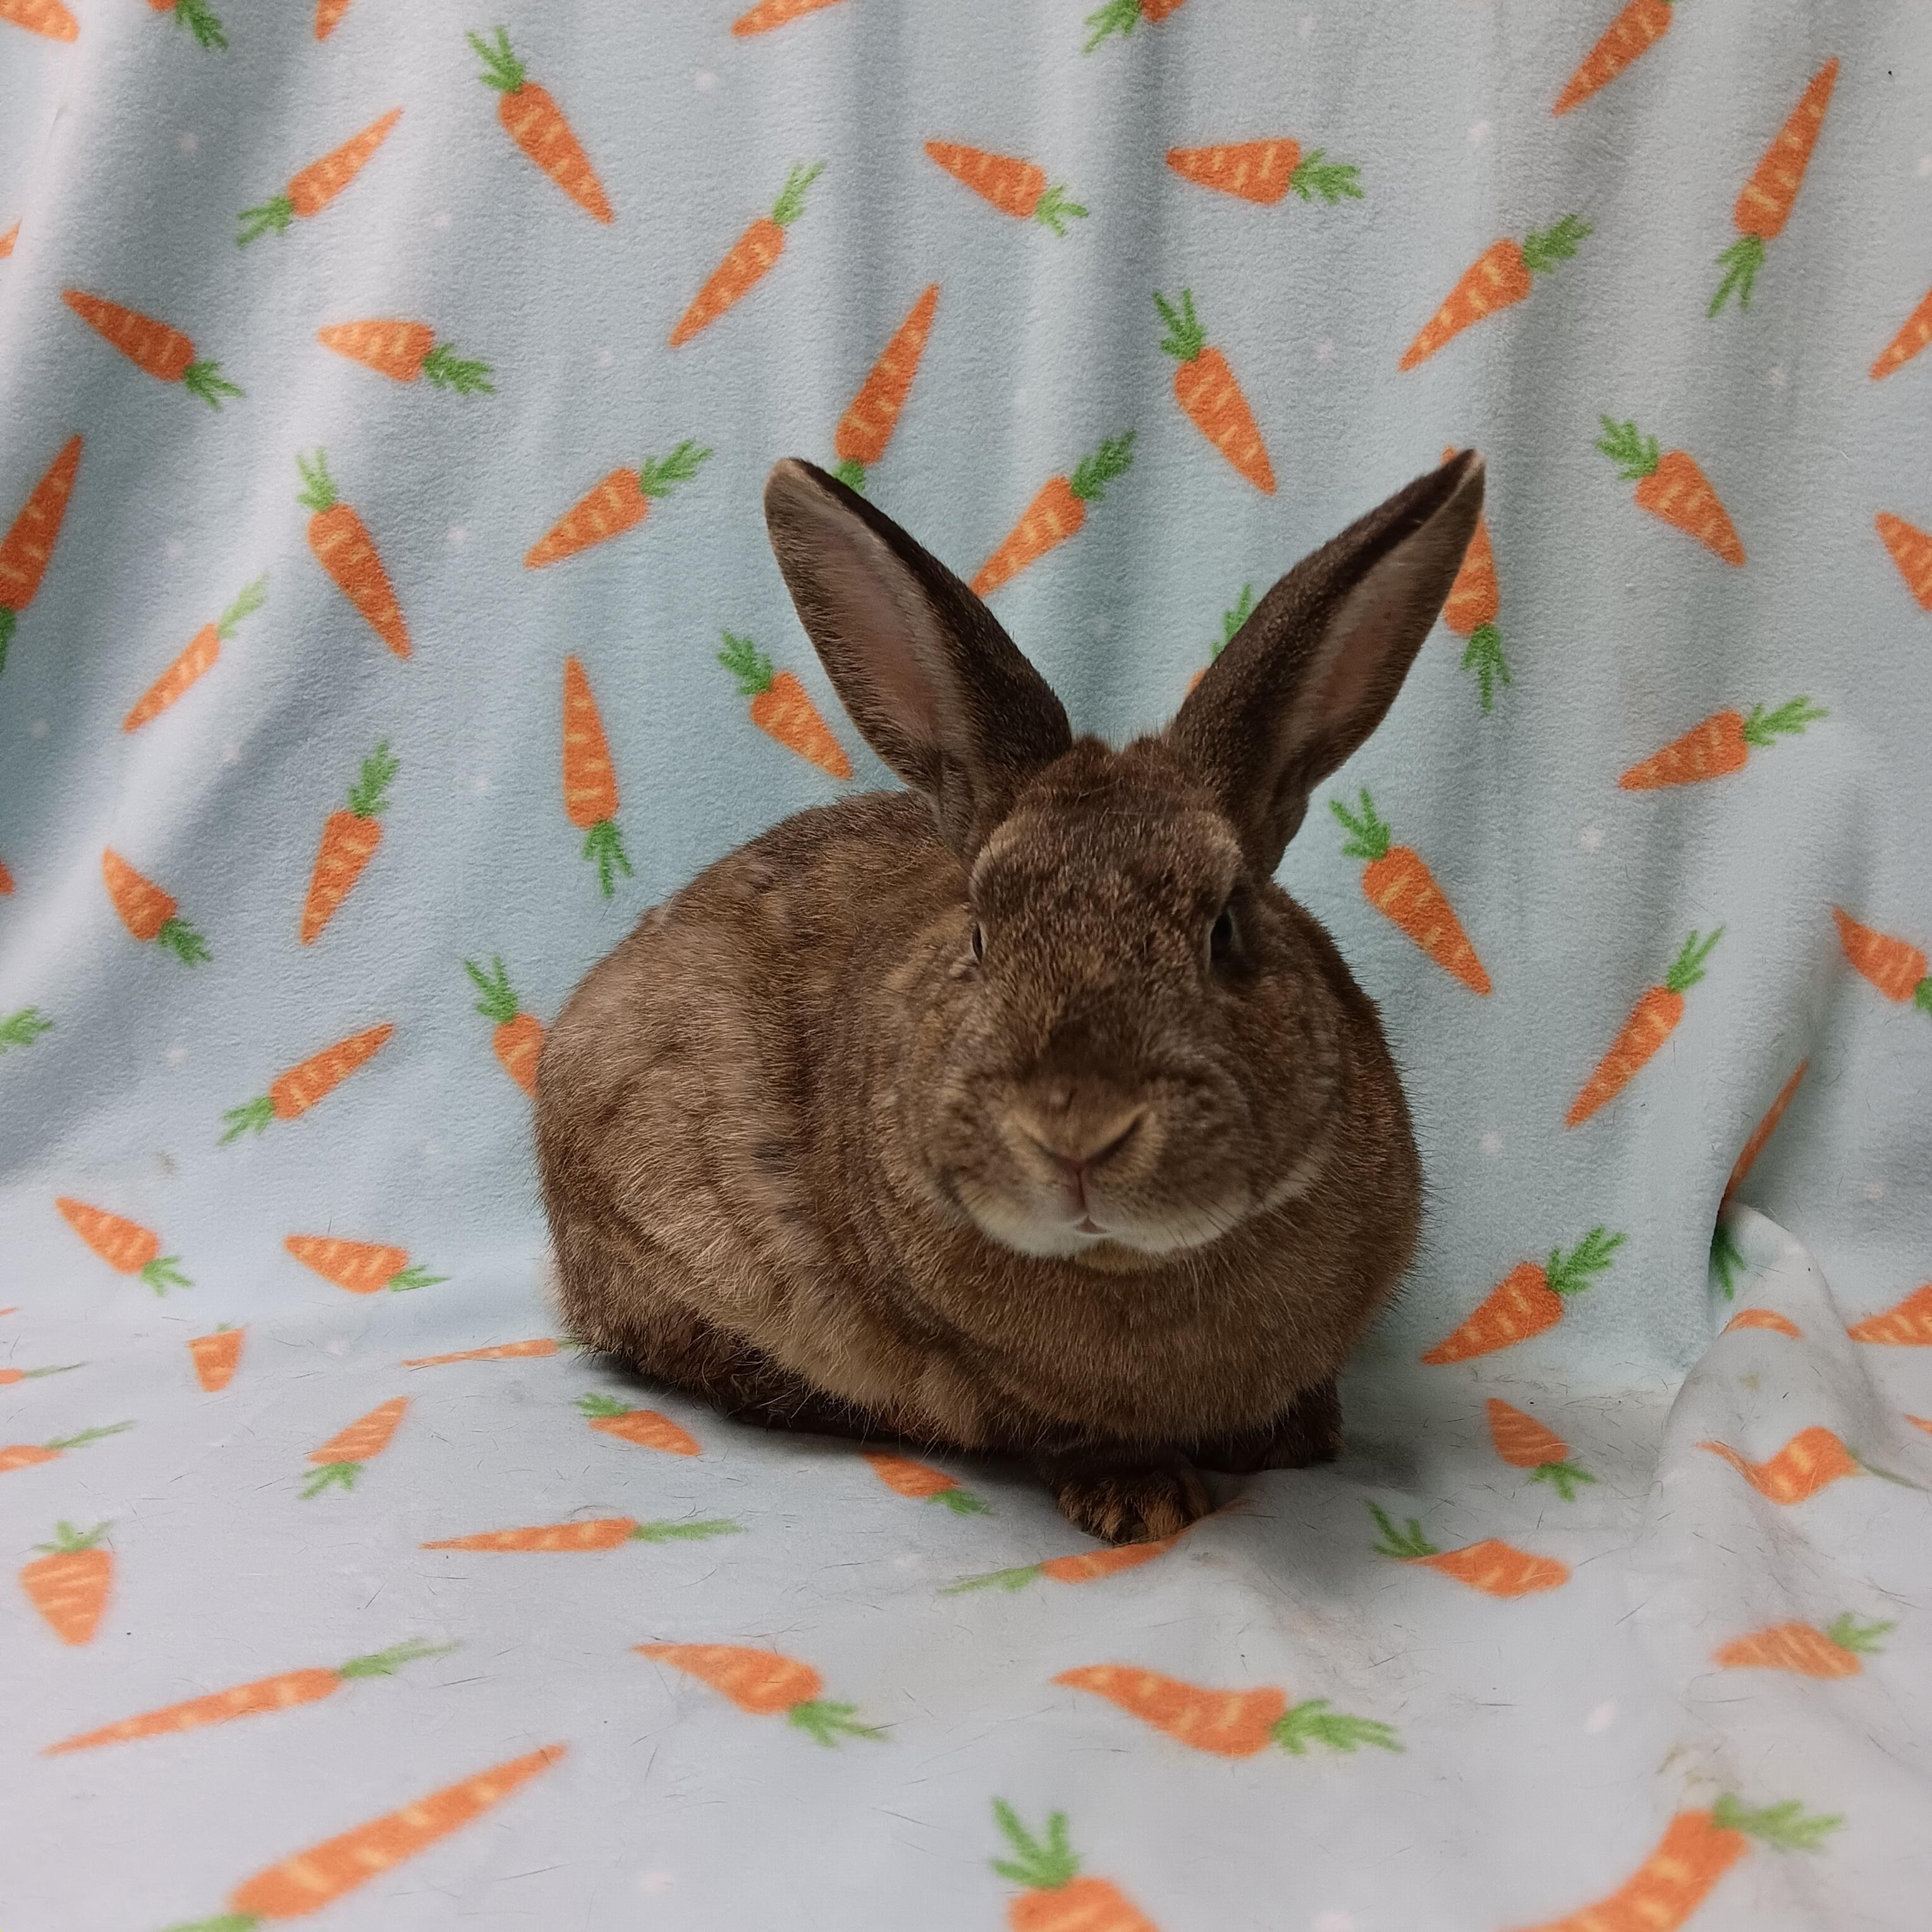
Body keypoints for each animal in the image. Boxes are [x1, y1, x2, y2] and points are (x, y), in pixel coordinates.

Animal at [535, 450, 1484, 1544]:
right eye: (982, 935)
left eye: (1226, 928)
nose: (1078, 1131)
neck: (1132, 1268)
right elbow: (1054, 1425)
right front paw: (1143, 1502)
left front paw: (1301, 1439)